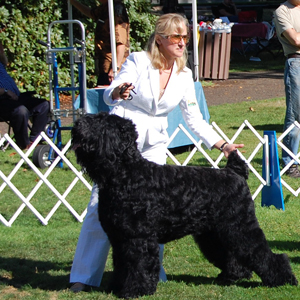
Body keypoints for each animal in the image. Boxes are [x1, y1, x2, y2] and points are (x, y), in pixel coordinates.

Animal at [72, 112, 298, 298]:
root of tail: (235, 172)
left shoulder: (138, 238)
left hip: (239, 226)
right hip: (214, 232)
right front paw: (118, 287)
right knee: (232, 253)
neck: (125, 174)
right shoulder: (119, 238)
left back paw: (284, 279)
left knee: (263, 253)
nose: (77, 124)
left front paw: (135, 290)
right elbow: (122, 265)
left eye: (102, 122)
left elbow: (137, 265)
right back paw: (234, 275)